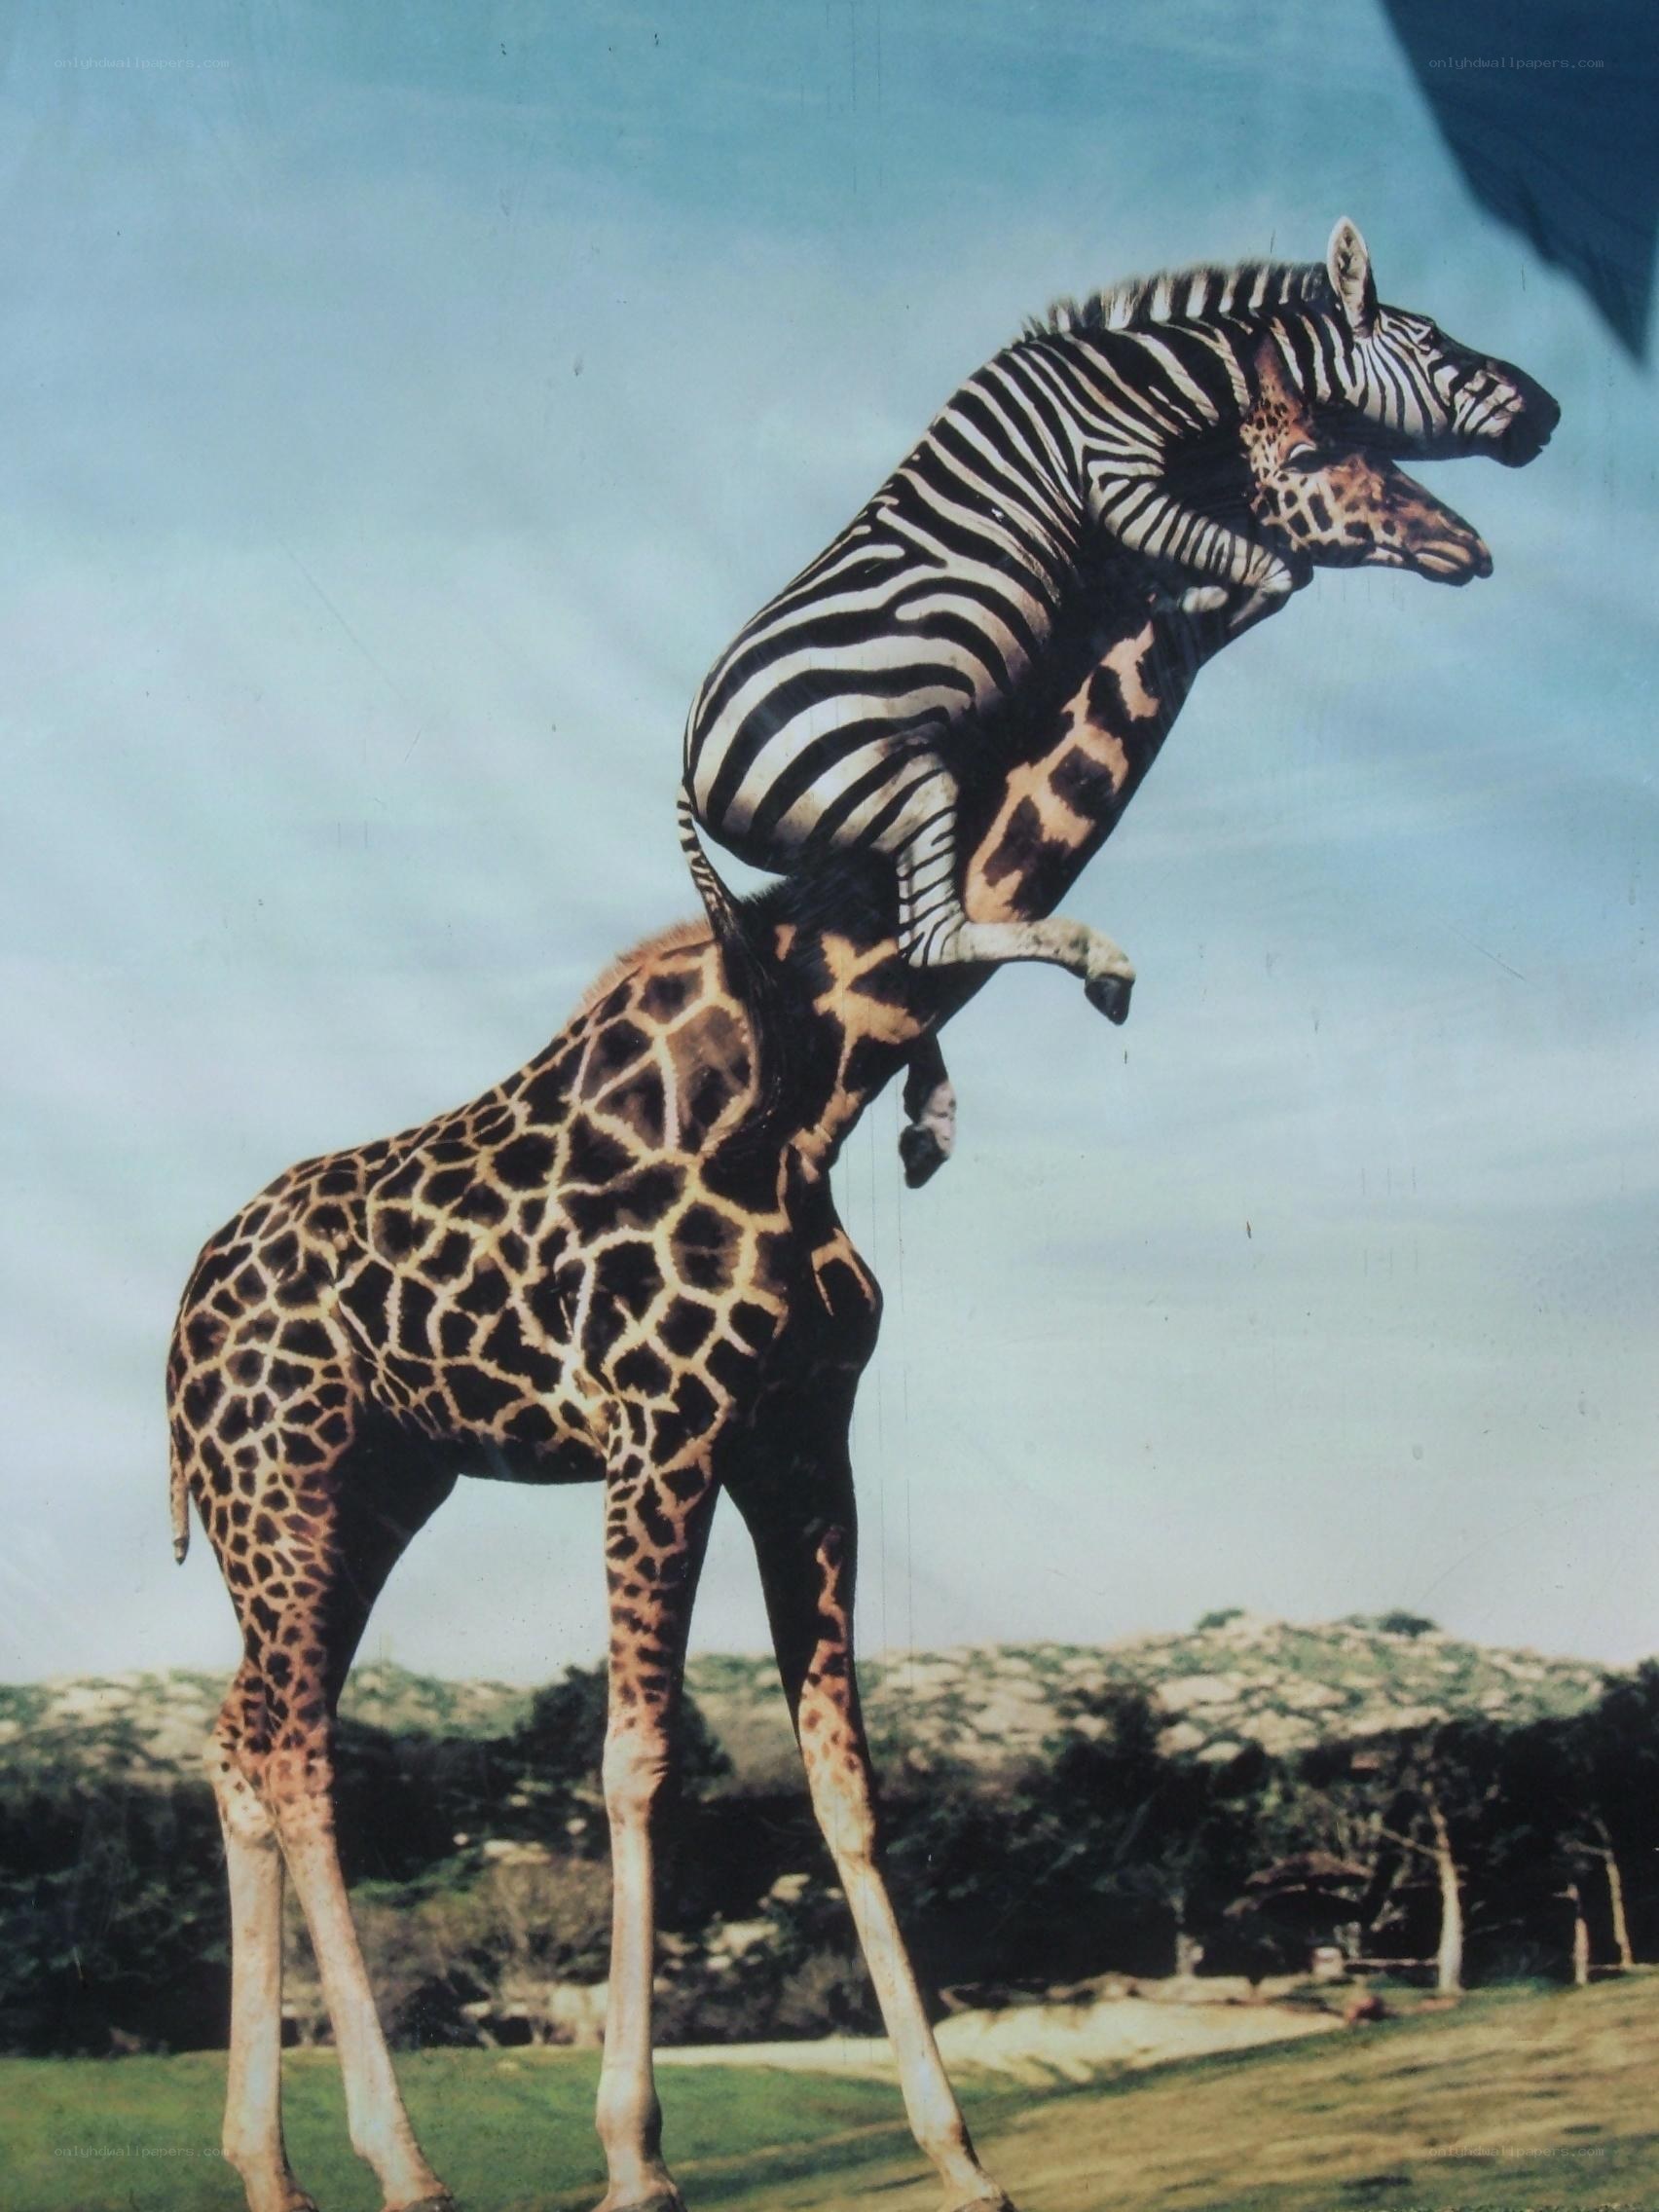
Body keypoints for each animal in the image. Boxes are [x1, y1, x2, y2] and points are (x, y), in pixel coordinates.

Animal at [167, 408, 1493, 2212]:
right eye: (1317, 453)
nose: (1455, 542)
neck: (825, 1075)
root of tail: (174, 1339)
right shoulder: (660, 1429)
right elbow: (636, 1761)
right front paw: (633, 2159)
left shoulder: (801, 1430)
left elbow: (847, 1779)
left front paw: (959, 2153)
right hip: (285, 1478)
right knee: (299, 1756)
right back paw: (404, 2162)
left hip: (375, 1486)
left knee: (241, 1738)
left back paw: (271, 2166)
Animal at [680, 218, 1557, 1021]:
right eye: (1434, 339)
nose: (1550, 411)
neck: (1146, 379)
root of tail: (686, 774)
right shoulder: (1117, 483)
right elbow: (1276, 570)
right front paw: (1190, 611)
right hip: (900, 784)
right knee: (932, 940)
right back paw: (1094, 958)